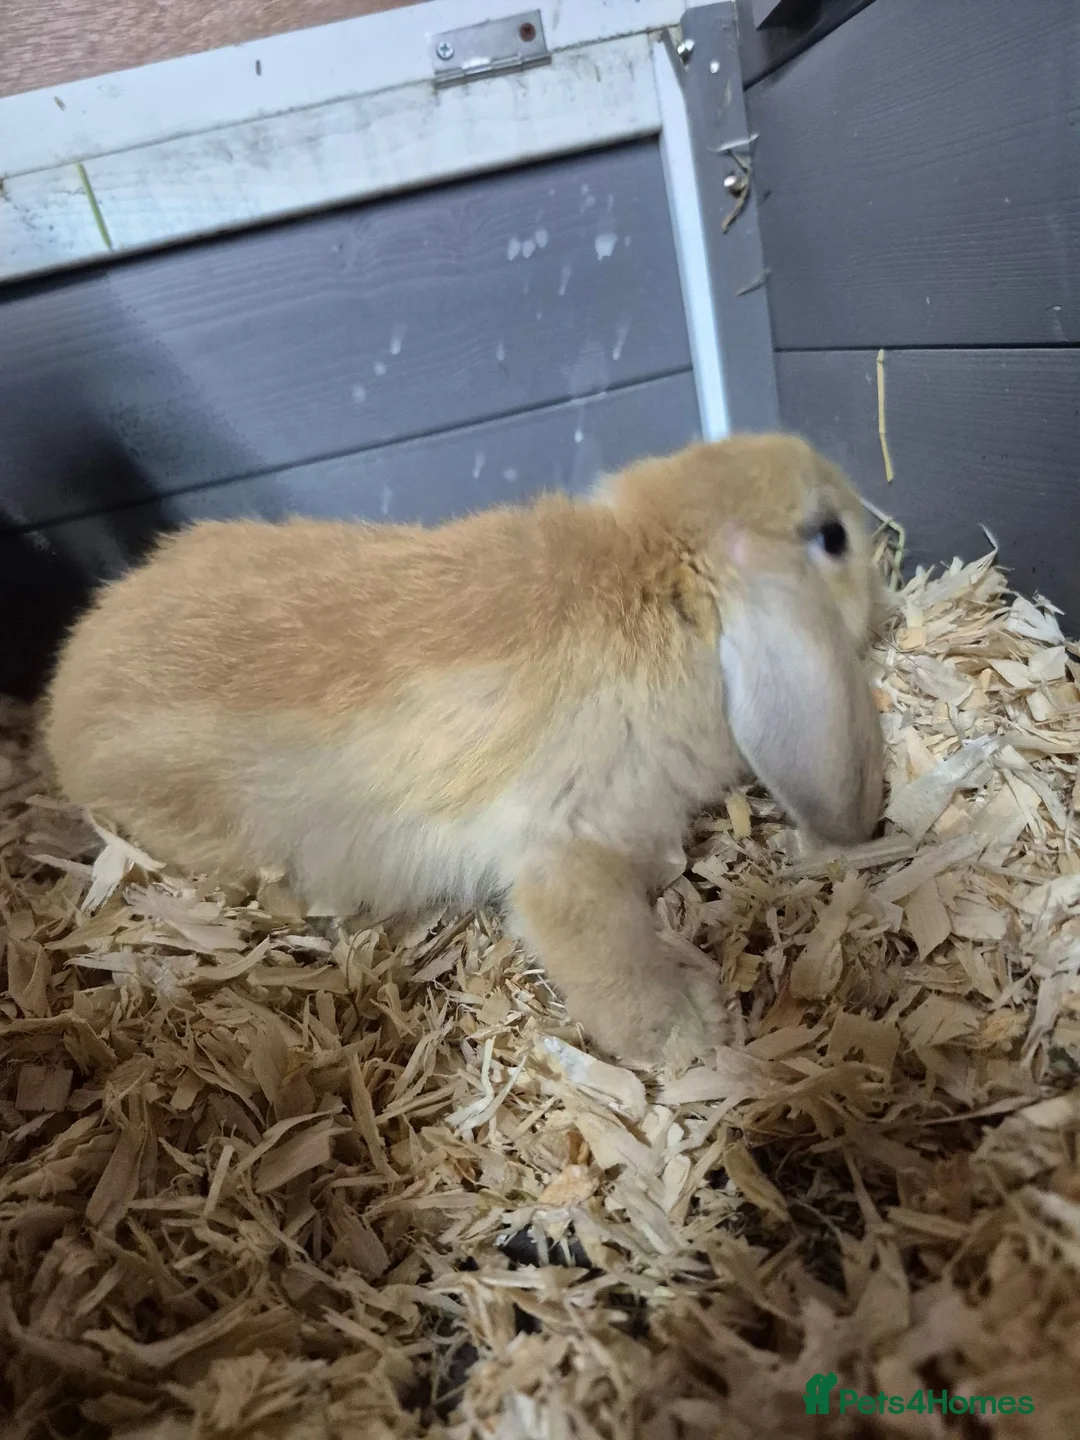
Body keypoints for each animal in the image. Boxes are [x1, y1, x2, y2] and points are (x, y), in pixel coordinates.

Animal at [43, 434, 884, 1066]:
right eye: (832, 537)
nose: (877, 573)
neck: (665, 575)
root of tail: (60, 721)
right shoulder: (566, 842)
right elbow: (605, 952)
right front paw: (691, 1031)